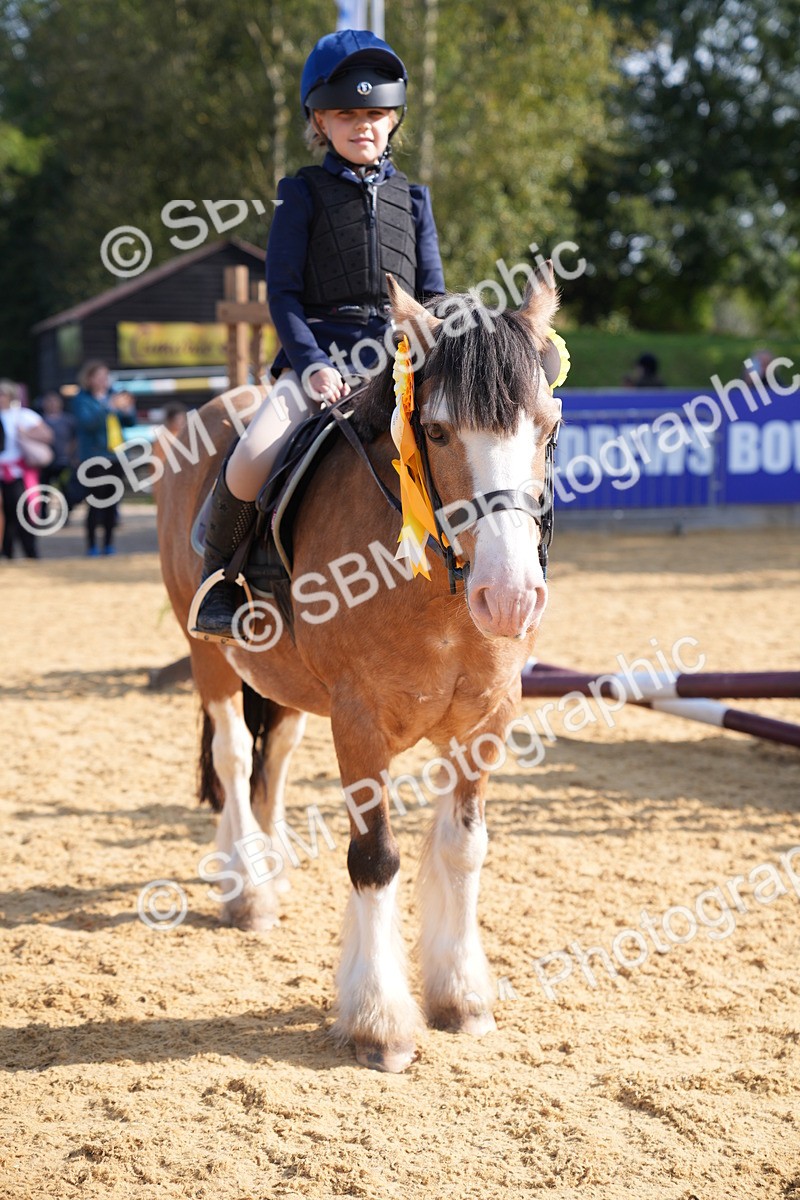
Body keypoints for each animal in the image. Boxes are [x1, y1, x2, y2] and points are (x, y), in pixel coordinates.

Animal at [156, 271, 562, 1072]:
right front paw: (381, 1024)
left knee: (273, 755)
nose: (510, 597)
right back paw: (247, 890)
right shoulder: (361, 724)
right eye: (436, 432)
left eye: (547, 426)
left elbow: (463, 850)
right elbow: (375, 858)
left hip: (281, 680)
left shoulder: (486, 722)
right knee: (233, 752)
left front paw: (460, 996)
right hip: (209, 655)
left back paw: (269, 867)